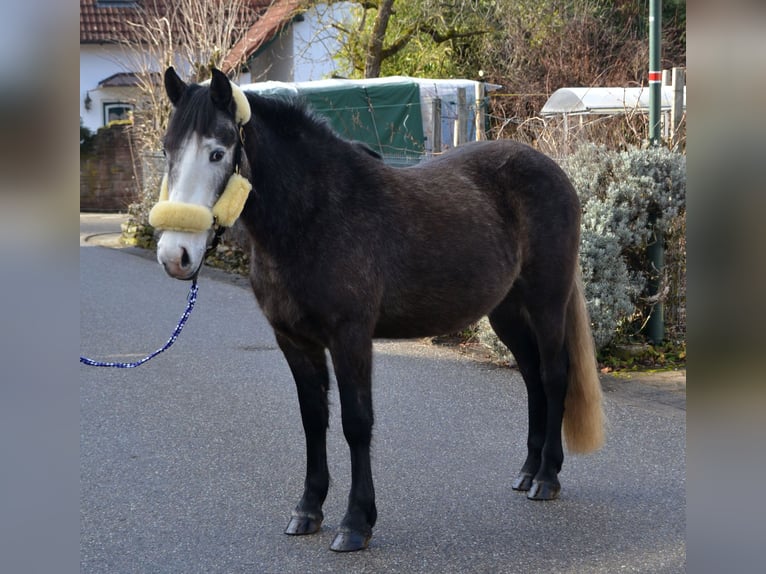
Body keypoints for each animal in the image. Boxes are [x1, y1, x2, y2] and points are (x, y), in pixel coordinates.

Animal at [151, 66, 605, 552]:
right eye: (167, 150)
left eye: (217, 152)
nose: (175, 256)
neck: (316, 216)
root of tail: (551, 169)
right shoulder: (294, 341)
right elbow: (314, 419)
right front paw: (308, 510)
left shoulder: (350, 338)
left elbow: (356, 422)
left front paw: (356, 522)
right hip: (506, 313)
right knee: (532, 378)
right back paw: (527, 471)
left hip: (546, 302)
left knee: (553, 376)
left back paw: (546, 478)